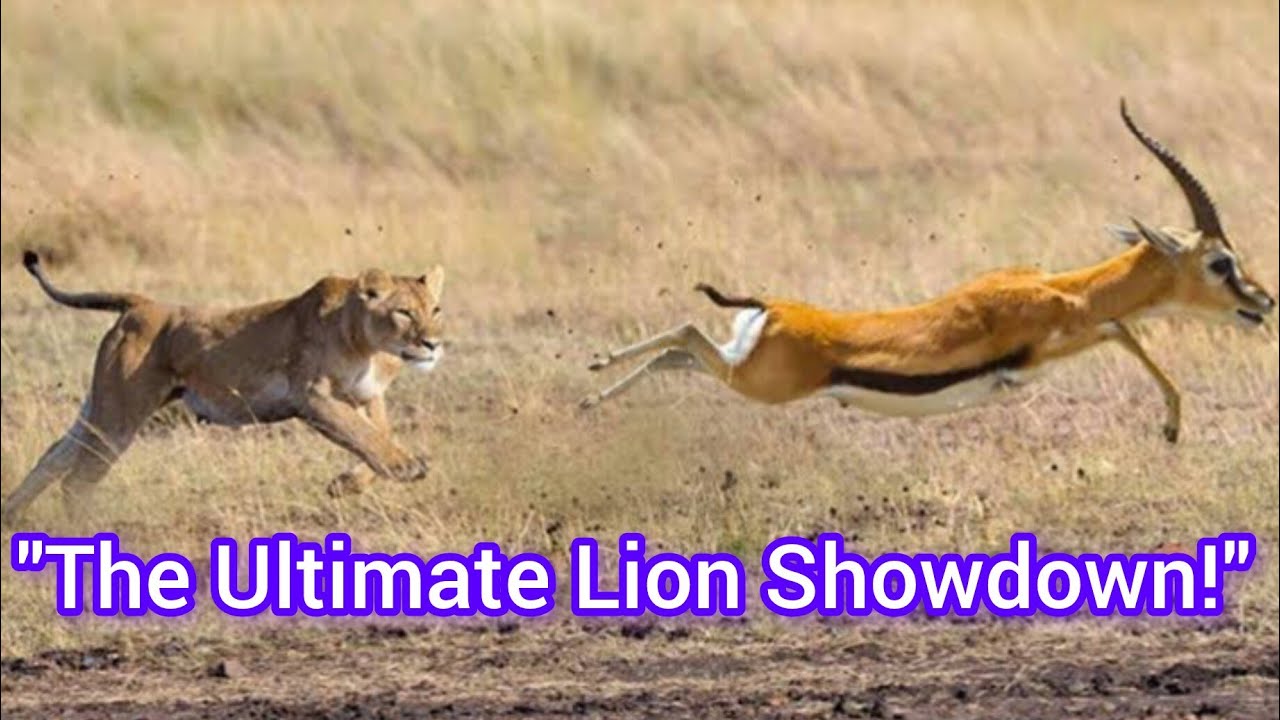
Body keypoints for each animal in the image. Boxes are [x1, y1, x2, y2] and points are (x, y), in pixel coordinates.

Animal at [2, 251, 446, 525]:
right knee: (76, 480)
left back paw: (11, 520)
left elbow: (375, 435)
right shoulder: (313, 396)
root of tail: (142, 304)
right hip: (121, 415)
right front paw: (407, 467)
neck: (369, 346)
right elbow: (363, 435)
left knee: (52, 457)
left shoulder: (369, 396)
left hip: (101, 407)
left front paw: (347, 483)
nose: (434, 343)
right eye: (404, 312)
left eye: (435, 309)